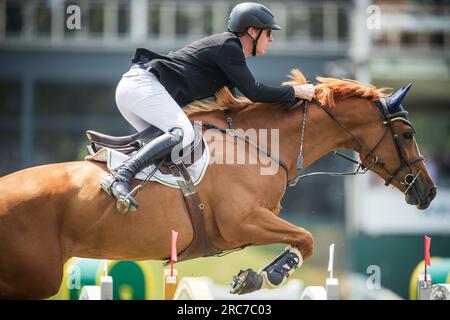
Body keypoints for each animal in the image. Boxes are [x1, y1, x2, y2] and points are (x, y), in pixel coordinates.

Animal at [0, 70, 436, 300]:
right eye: (408, 134)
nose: (429, 192)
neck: (261, 144)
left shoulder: (246, 228)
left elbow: (302, 239)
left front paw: (256, 275)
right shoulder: (241, 221)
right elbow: (307, 238)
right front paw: (268, 275)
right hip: (36, 278)